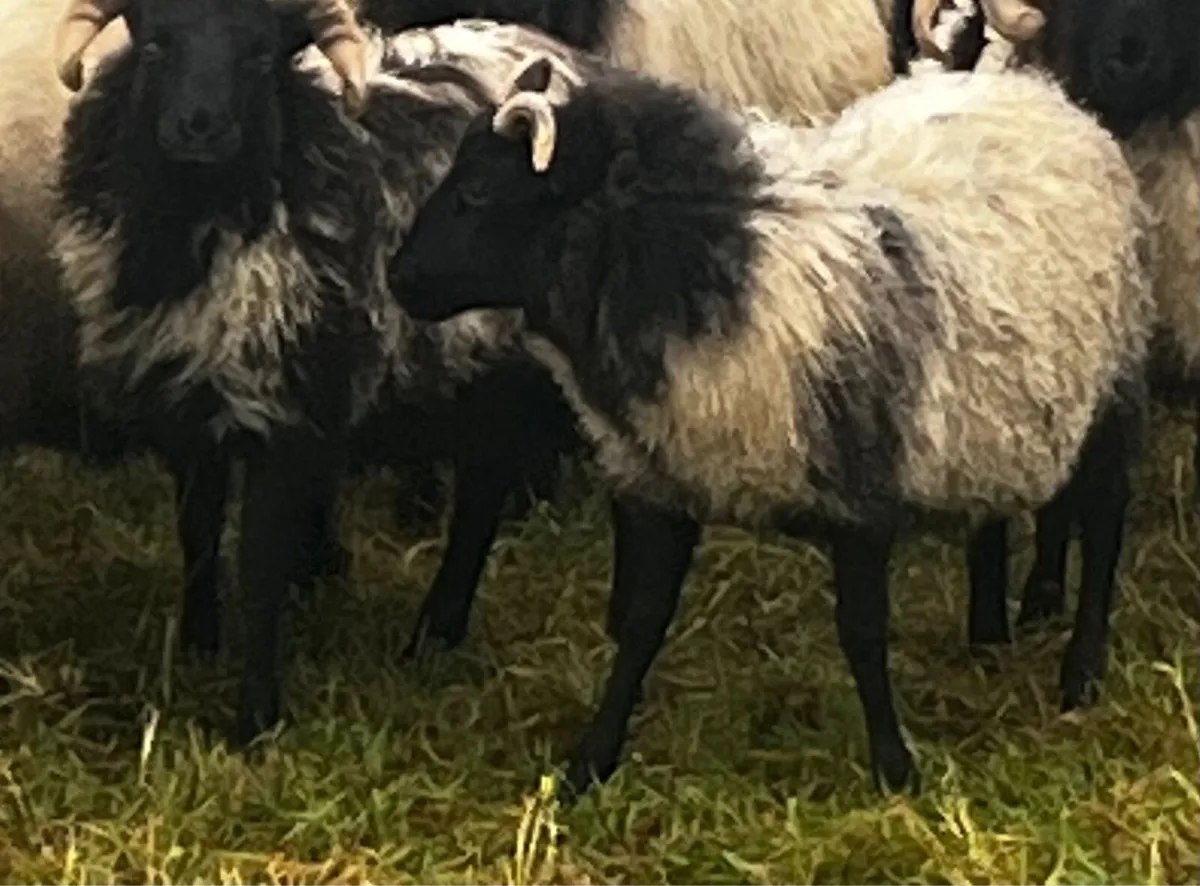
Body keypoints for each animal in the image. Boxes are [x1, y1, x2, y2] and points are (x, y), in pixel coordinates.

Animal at [50, 0, 597, 744]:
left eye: (260, 56)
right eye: (156, 42)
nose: (200, 127)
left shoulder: (283, 415)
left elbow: (258, 565)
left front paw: (254, 721)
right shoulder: (189, 406)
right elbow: (196, 535)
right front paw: (197, 647)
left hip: (501, 377)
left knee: (482, 497)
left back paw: (433, 634)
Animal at [386, 57, 1154, 798]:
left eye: (478, 194)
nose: (397, 279)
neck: (703, 257)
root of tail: (1039, 92)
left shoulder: (859, 493)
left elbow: (862, 634)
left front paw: (895, 770)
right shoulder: (664, 481)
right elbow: (640, 625)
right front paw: (588, 766)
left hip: (1109, 391)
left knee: (1105, 521)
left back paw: (1081, 672)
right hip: (989, 413)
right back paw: (988, 635)